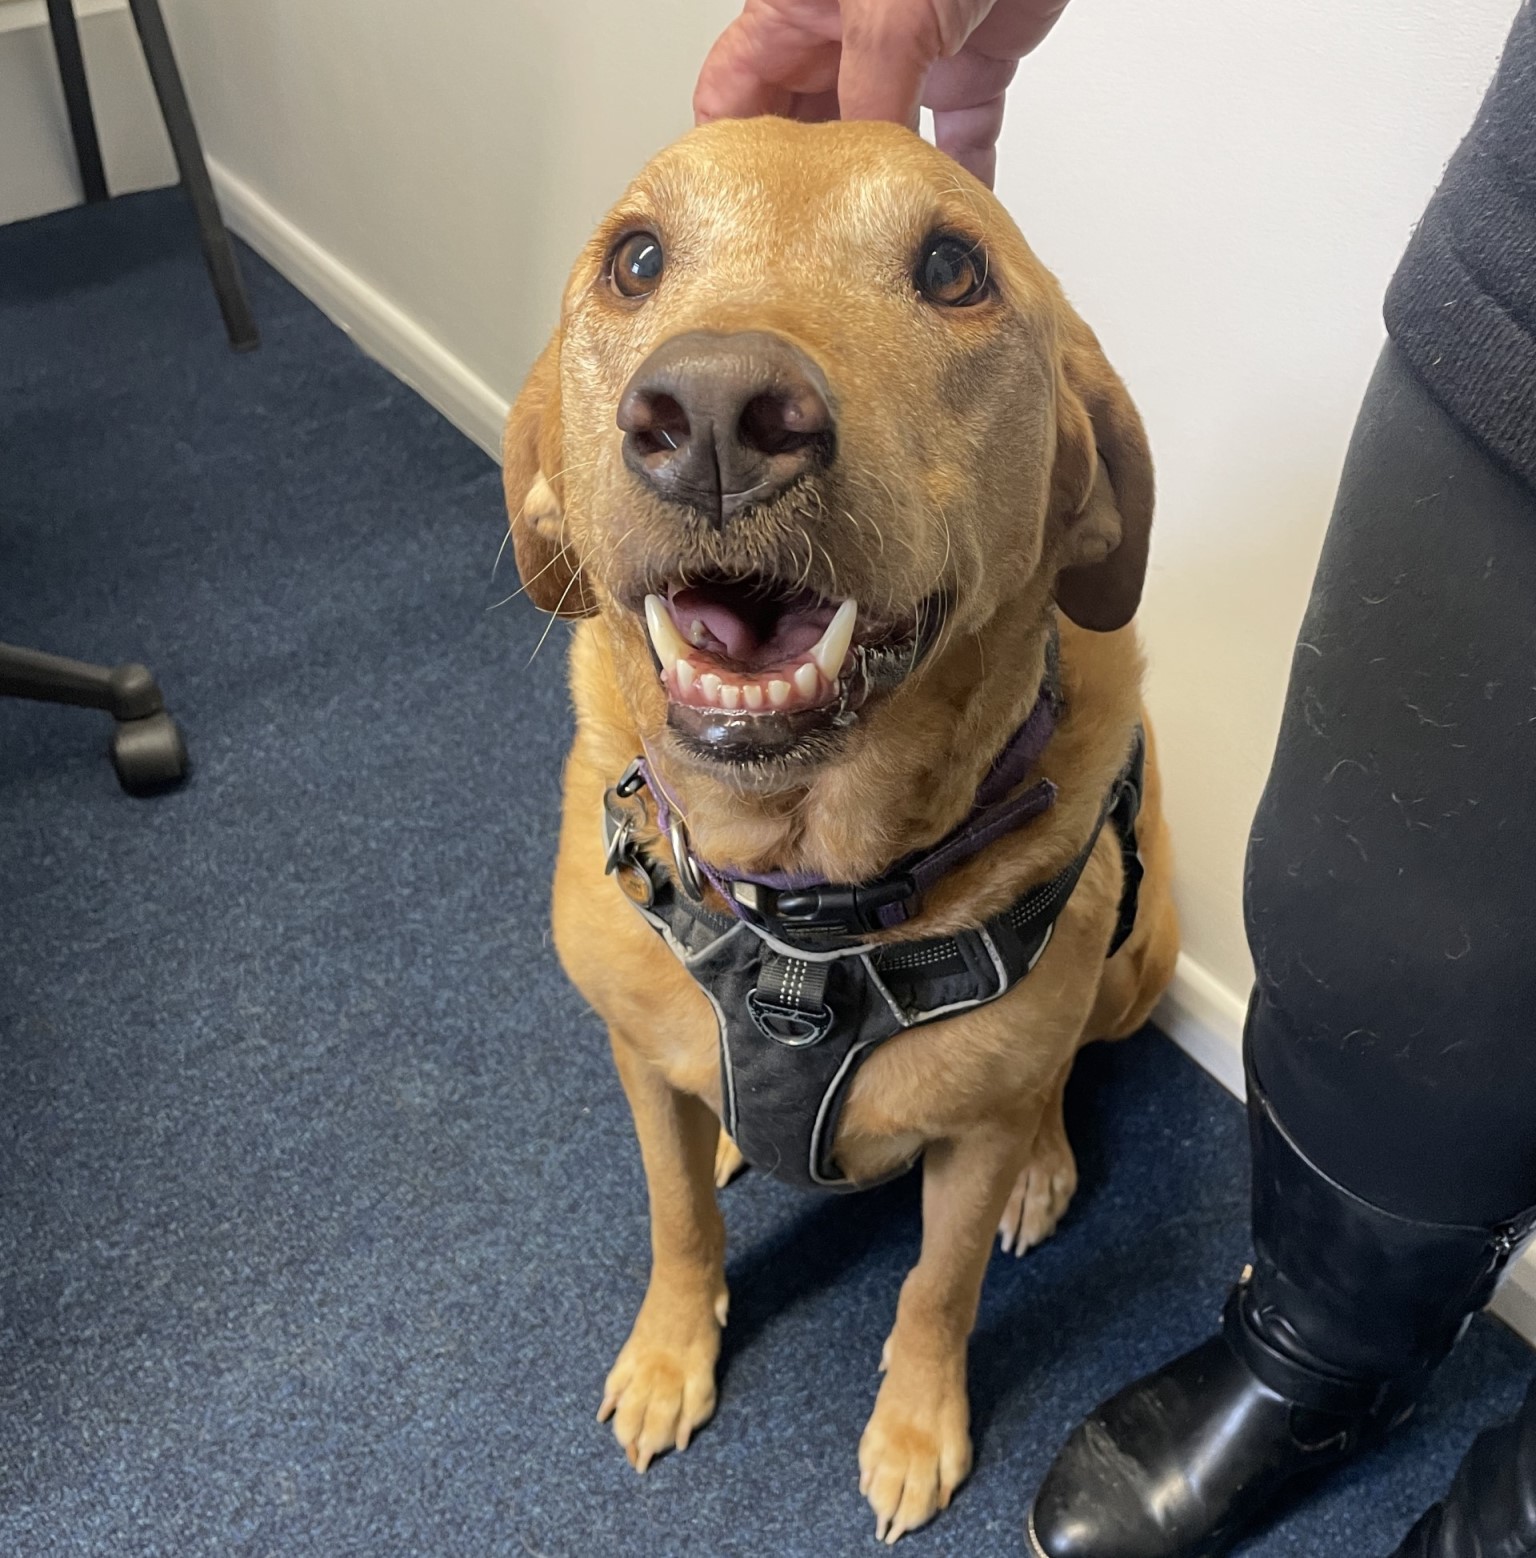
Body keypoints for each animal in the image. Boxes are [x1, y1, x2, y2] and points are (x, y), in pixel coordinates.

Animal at [501, 115, 1171, 1539]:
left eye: (953, 270)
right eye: (636, 259)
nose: (711, 415)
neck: (799, 900)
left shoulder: (968, 1144)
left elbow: (939, 1286)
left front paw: (916, 1427)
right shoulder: (634, 1058)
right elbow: (676, 1218)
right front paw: (672, 1349)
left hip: (1134, 959)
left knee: (1060, 1072)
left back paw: (1048, 1163)